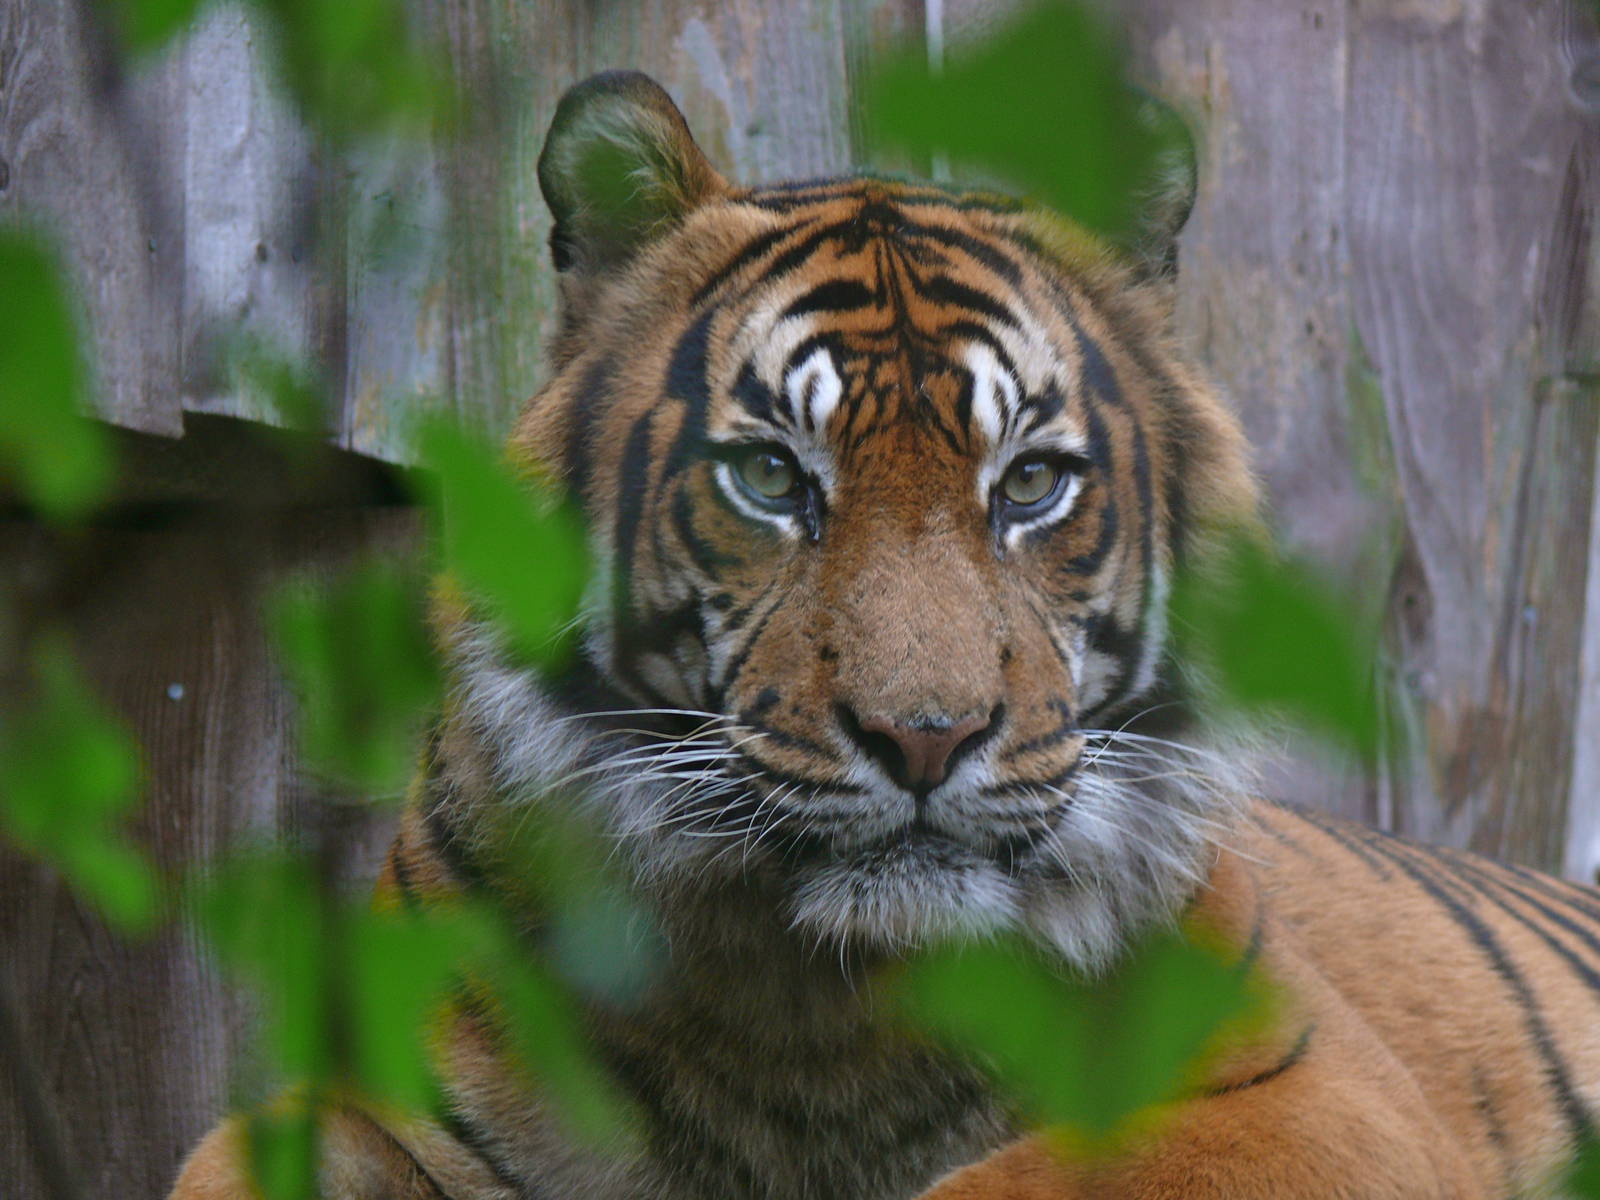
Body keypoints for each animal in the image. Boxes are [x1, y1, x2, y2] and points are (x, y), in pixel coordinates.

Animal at [170, 70, 1600, 1200]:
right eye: (769, 477)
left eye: (1030, 484)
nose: (925, 739)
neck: (820, 1023)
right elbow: (220, 1156)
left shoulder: (1311, 1093)